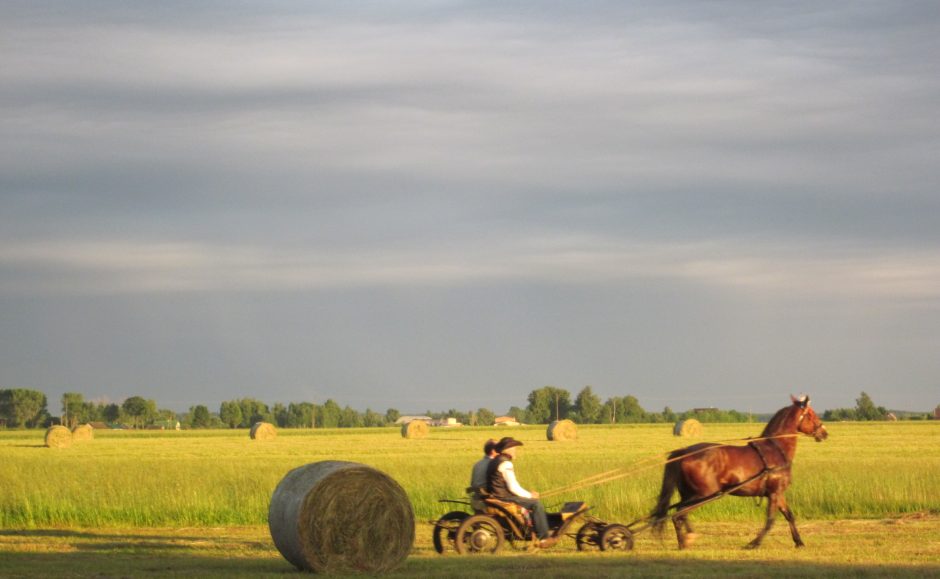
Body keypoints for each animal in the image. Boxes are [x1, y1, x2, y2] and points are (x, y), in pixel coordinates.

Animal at [652, 396, 828, 552]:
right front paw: (754, 543)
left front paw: (799, 542)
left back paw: (684, 541)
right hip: (703, 494)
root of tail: (684, 452)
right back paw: (686, 539)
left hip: (690, 493)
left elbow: (789, 515)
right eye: (811, 414)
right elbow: (770, 521)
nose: (824, 432)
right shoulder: (774, 493)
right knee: (679, 513)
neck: (775, 448)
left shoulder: (778, 493)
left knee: (679, 514)